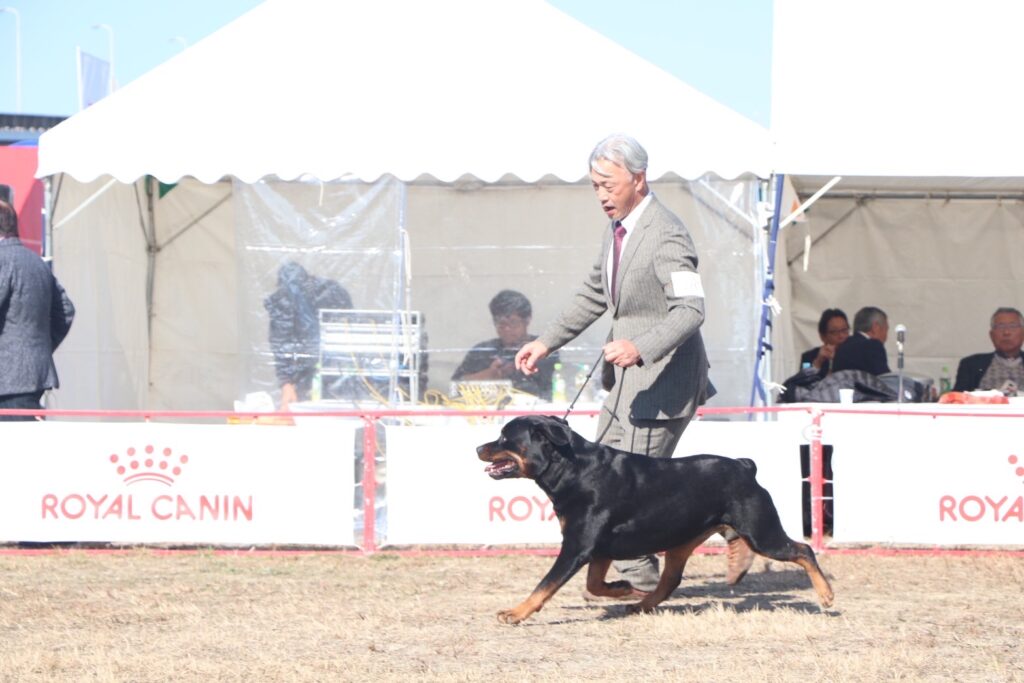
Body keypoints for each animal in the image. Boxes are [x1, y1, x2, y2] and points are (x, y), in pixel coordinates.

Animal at [476, 415, 834, 624]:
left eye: (504, 438)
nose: (479, 447)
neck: (572, 468)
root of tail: (745, 465)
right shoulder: (599, 548)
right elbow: (594, 583)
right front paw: (621, 588)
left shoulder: (578, 546)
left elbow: (546, 584)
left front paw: (515, 613)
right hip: (683, 540)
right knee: (671, 579)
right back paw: (642, 604)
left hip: (761, 531)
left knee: (803, 550)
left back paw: (826, 595)